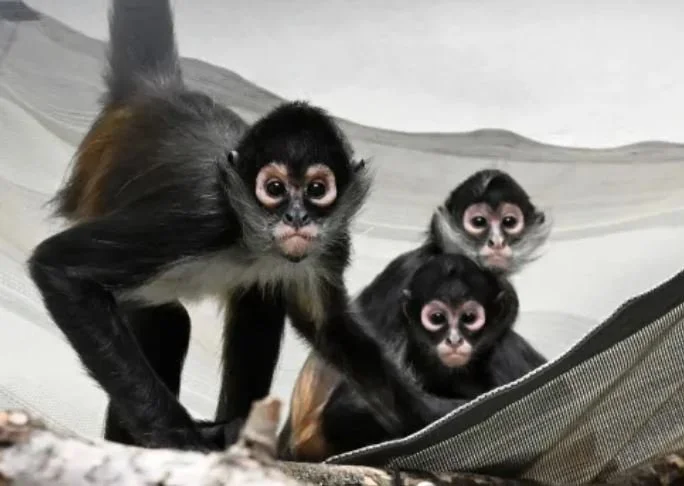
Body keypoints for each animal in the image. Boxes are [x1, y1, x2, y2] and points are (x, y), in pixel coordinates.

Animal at [26, 0, 463, 451]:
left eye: (317, 189)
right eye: (274, 188)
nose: (296, 217)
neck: (250, 241)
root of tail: (155, 95)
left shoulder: (329, 243)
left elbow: (331, 329)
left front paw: (432, 415)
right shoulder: (200, 218)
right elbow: (59, 269)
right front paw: (177, 436)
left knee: (260, 299)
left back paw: (235, 428)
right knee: (168, 322)